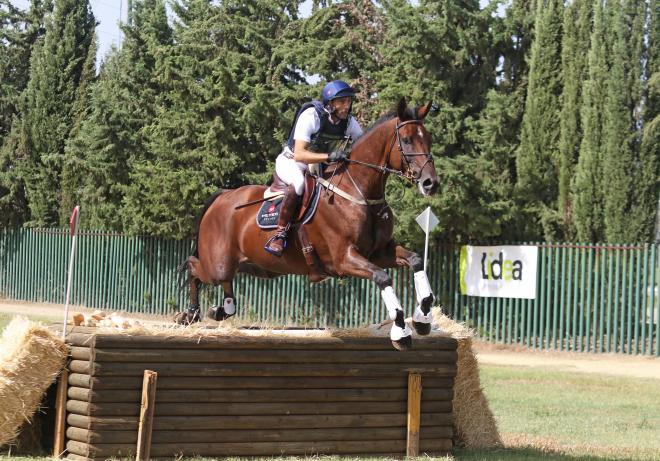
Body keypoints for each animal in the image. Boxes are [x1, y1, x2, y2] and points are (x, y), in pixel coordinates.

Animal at [177, 98, 444, 348]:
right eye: (407, 140)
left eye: (429, 138)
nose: (430, 183)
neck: (359, 192)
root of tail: (222, 196)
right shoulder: (344, 259)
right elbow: (383, 278)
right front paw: (401, 331)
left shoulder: (378, 252)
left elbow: (416, 260)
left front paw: (422, 318)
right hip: (218, 264)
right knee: (194, 266)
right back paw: (190, 314)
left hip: (252, 266)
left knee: (223, 280)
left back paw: (222, 308)